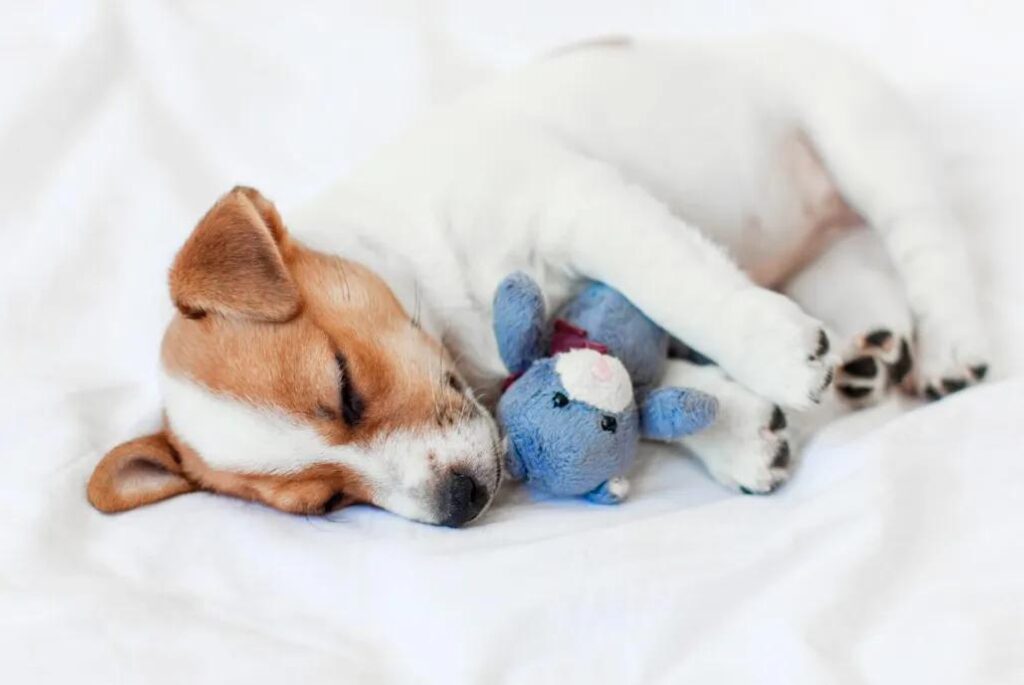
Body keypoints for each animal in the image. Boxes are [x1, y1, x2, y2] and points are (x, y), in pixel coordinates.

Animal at [90, 36, 991, 524]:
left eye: (344, 387)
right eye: (327, 502)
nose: (457, 504)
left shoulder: (582, 209)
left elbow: (679, 286)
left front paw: (769, 354)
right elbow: (638, 383)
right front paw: (735, 428)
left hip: (855, 134)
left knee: (929, 243)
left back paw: (950, 344)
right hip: (828, 244)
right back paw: (871, 353)